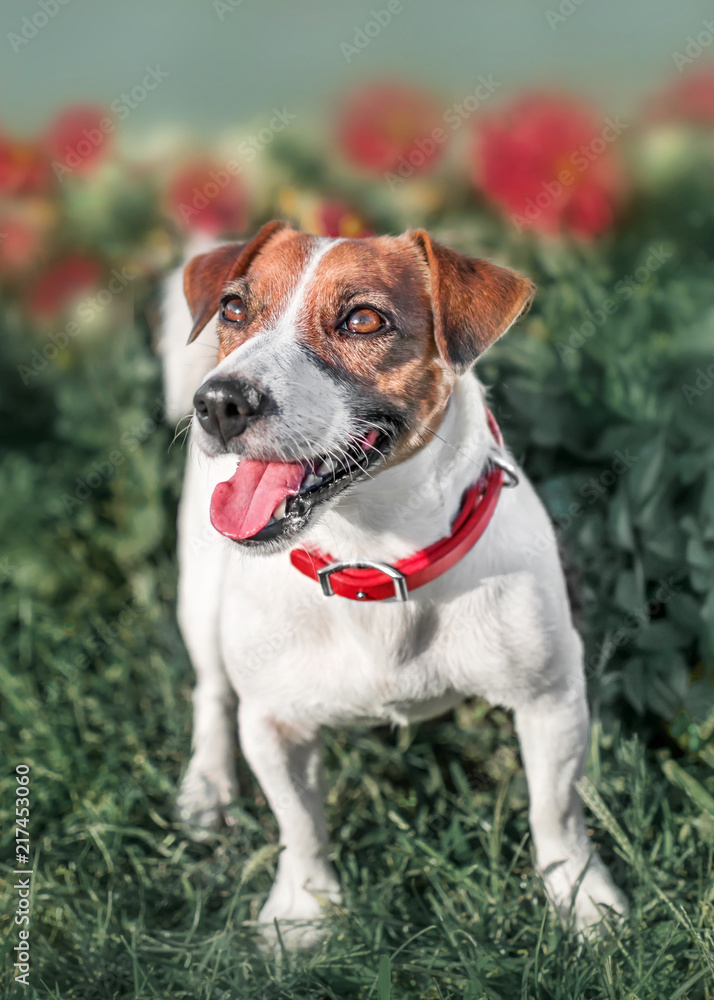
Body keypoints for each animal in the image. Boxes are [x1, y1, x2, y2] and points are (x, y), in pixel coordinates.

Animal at [159, 219, 624, 944]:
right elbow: (300, 827)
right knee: (210, 691)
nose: (219, 401)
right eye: (234, 308)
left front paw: (579, 898)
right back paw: (206, 789)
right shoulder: (273, 722)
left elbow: (558, 814)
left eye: (363, 319)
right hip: (201, 600)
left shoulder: (550, 699)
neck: (372, 558)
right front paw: (303, 912)